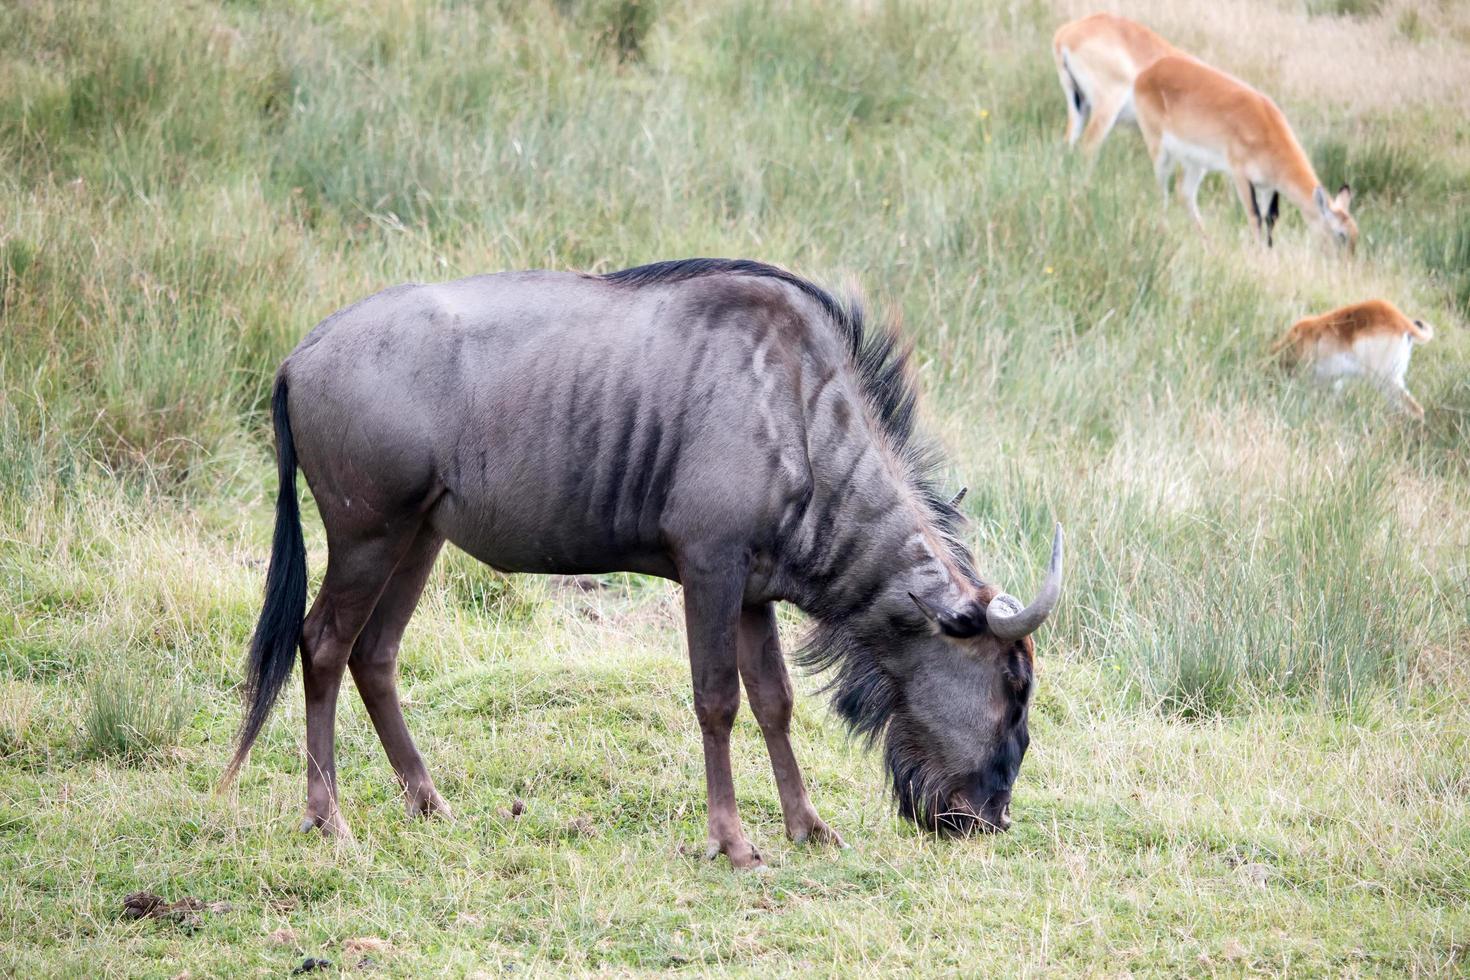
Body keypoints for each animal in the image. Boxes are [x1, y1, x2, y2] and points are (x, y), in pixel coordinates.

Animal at [1128, 55, 1358, 251]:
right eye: (1341, 234)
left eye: (1356, 234)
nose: (1345, 267)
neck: (1267, 131)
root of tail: (1149, 71)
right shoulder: (1240, 175)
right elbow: (1254, 215)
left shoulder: (1268, 186)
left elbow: (1270, 218)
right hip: (1159, 151)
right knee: (1162, 192)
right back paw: (1163, 233)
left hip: (1196, 163)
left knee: (1184, 194)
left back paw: (1209, 246)